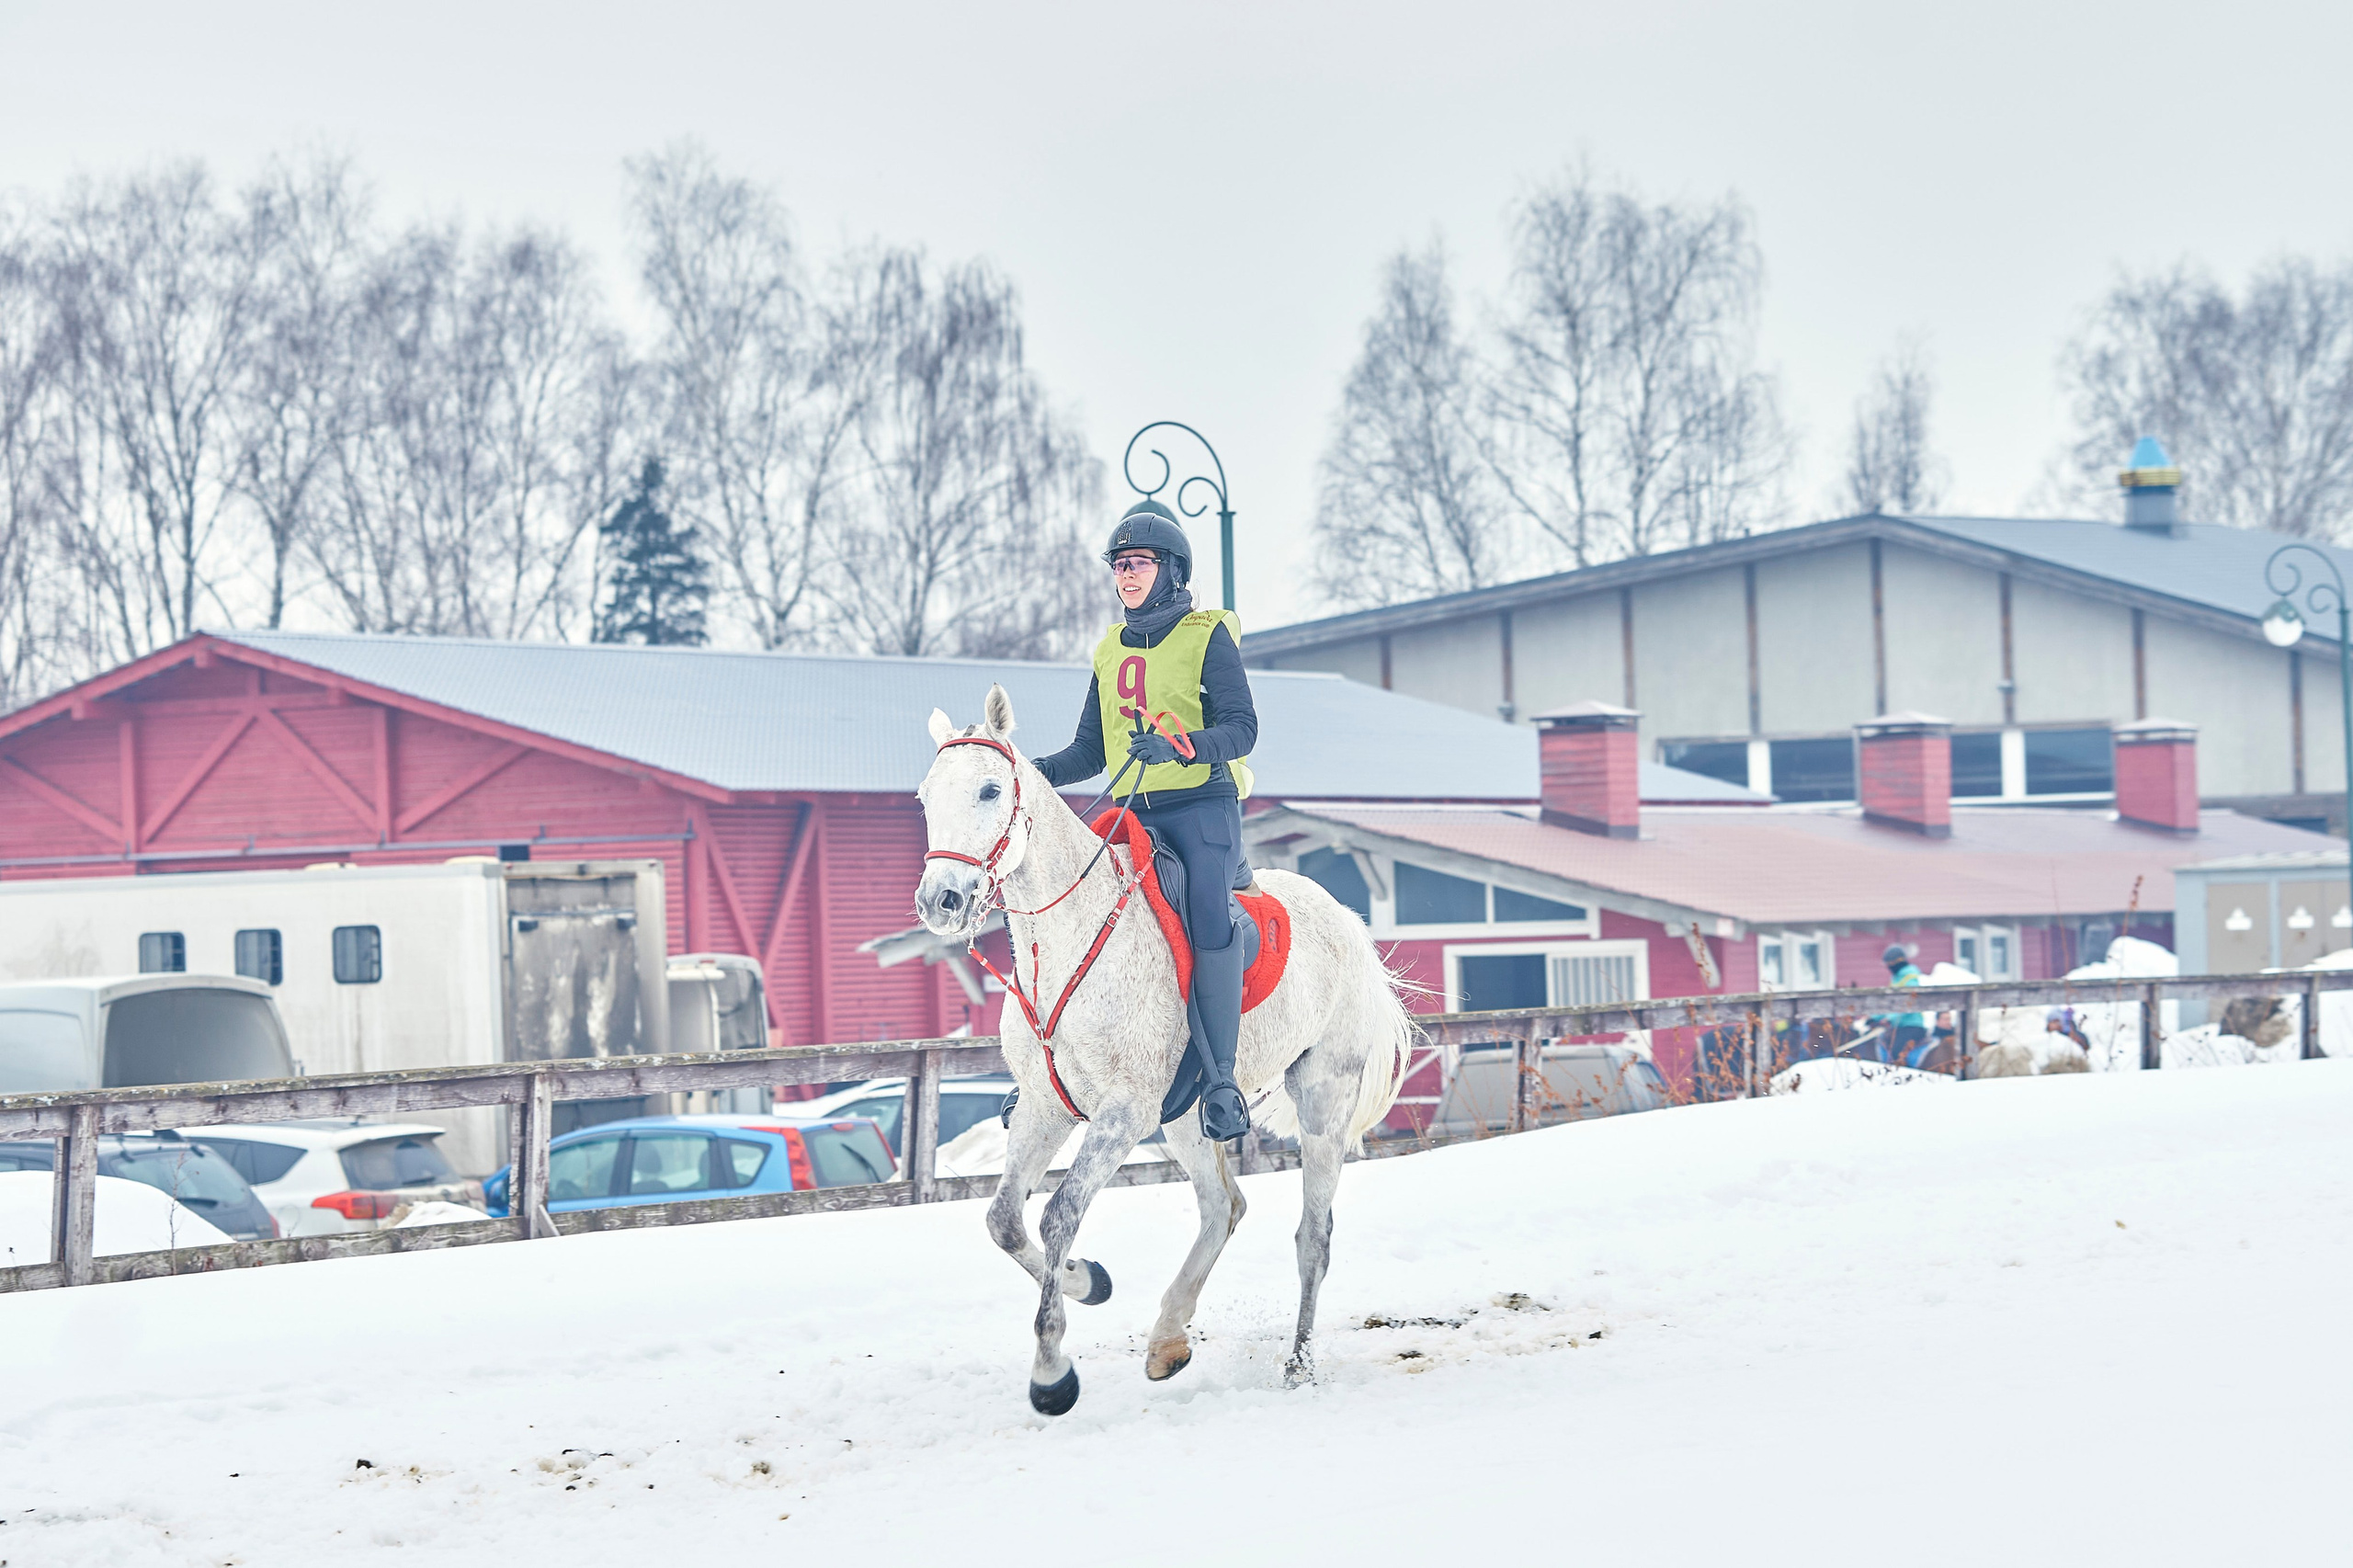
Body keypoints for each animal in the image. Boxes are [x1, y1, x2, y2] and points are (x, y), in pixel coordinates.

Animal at [913, 683, 1417, 1414]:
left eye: (988, 790)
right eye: (925, 797)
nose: (941, 901)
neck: (1061, 941)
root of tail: (1349, 922)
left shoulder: (1122, 1112)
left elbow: (1058, 1216)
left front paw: (1051, 1373)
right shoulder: (1045, 1106)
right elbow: (1005, 1220)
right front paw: (1088, 1281)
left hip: (1322, 1101)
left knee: (1313, 1238)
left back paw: (1297, 1364)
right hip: (1184, 1116)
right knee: (1222, 1208)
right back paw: (1169, 1338)